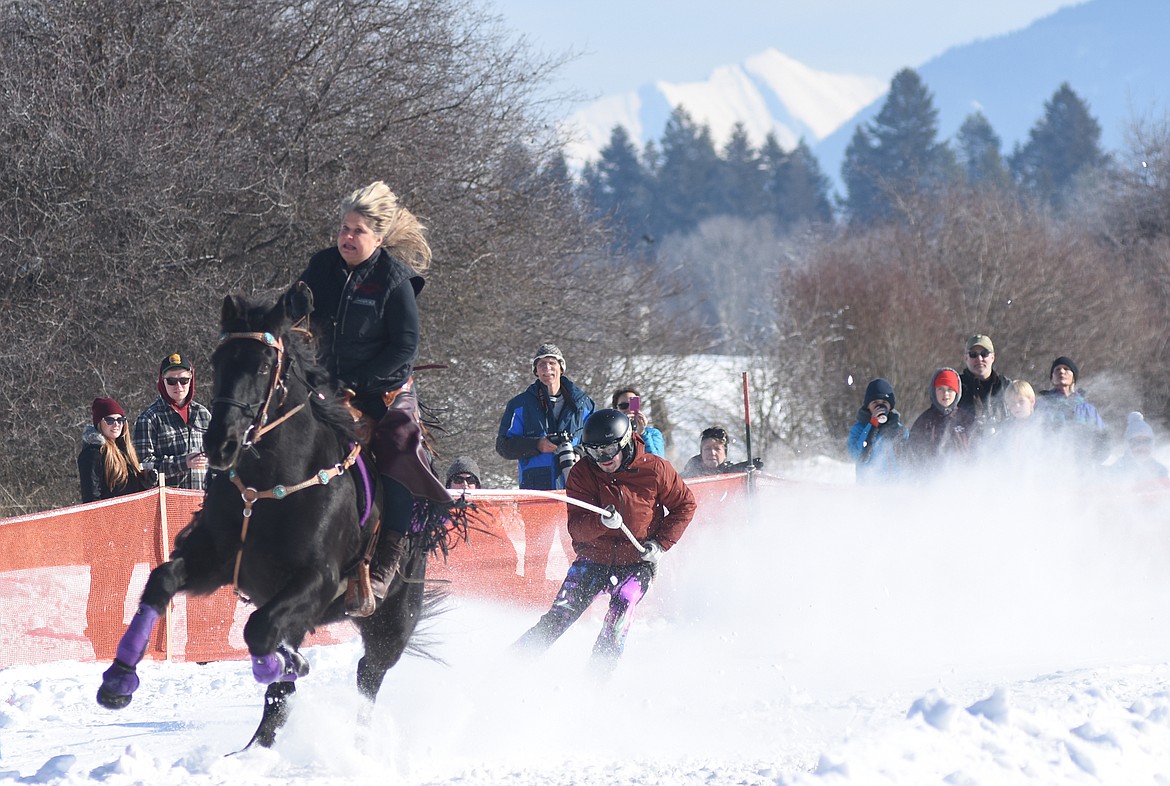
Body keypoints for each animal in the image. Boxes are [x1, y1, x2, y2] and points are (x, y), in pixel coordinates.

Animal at [95, 291, 453, 743]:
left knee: (367, 674)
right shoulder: (218, 561)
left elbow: (258, 630)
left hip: (390, 620)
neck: (268, 487)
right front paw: (118, 679)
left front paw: (283, 662)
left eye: (264, 365)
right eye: (218, 360)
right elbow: (161, 581)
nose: (220, 443)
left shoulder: (318, 579)